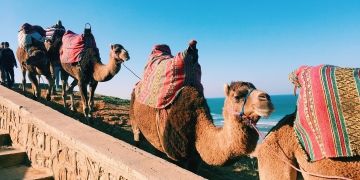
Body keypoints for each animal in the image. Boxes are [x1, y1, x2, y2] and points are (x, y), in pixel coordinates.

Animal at [131, 81, 274, 170]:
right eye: (237, 96)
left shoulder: (195, 159)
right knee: (137, 134)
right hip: (134, 117)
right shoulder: (174, 155)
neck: (196, 126)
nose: (266, 98)